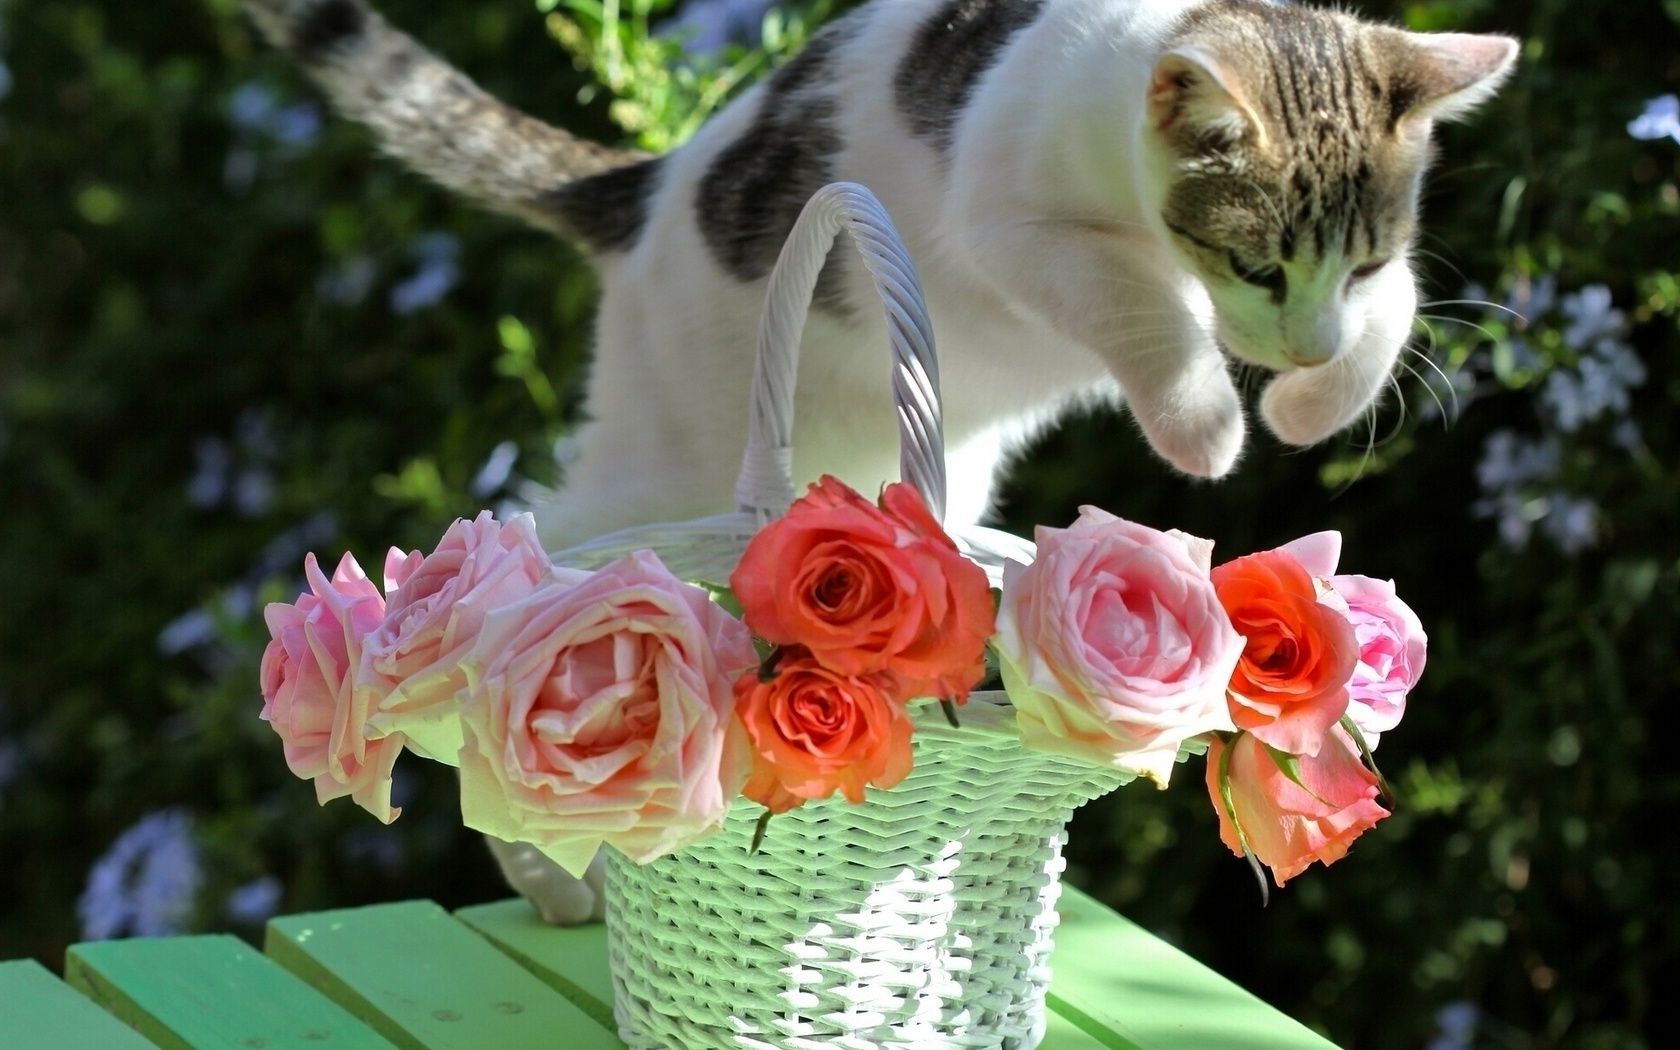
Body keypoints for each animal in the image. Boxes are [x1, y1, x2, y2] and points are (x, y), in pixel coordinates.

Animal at [245, 0, 1525, 913]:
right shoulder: (1013, 230)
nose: (1299, 342)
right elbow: (1140, 303)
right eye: (1259, 266)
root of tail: (648, 190)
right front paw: (1206, 421)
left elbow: (1403, 310)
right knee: (522, 561)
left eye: (1357, 261)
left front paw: (1321, 396)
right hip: (667, 457)